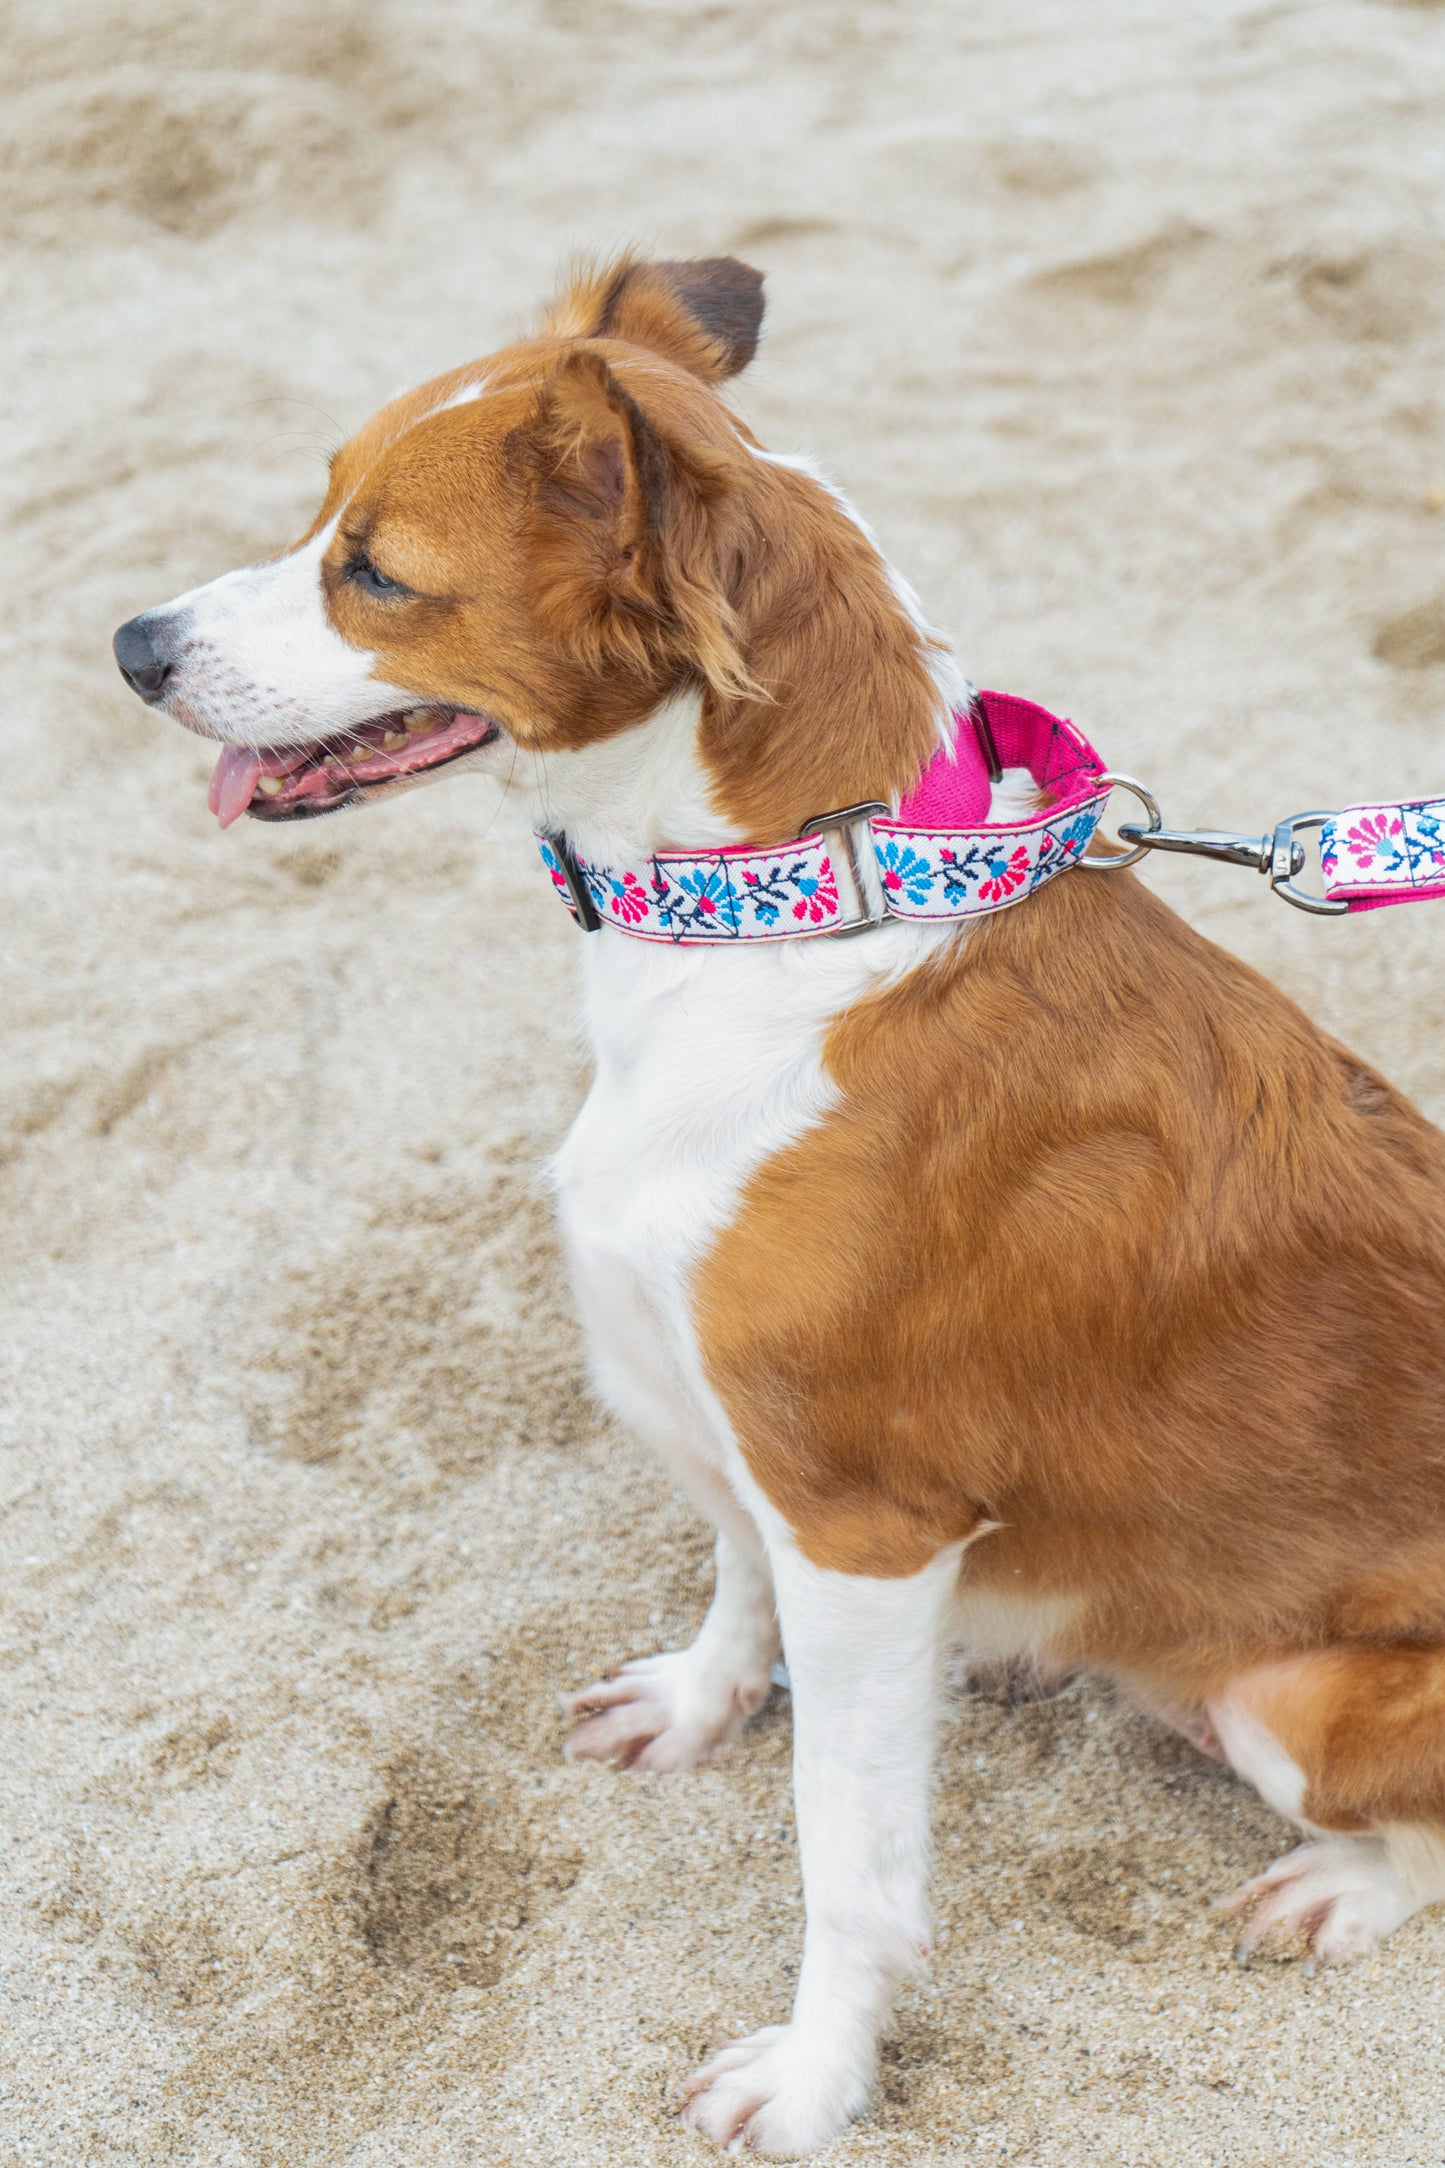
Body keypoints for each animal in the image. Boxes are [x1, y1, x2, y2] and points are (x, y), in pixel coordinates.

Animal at [115, 262, 1445, 2159]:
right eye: (318, 514)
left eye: (373, 570)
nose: (133, 647)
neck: (787, 905)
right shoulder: (750, 1447)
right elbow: (731, 1578)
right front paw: (702, 1700)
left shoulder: (861, 1524)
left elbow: (848, 1862)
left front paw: (819, 2076)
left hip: (1298, 1701)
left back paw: (1335, 1880)